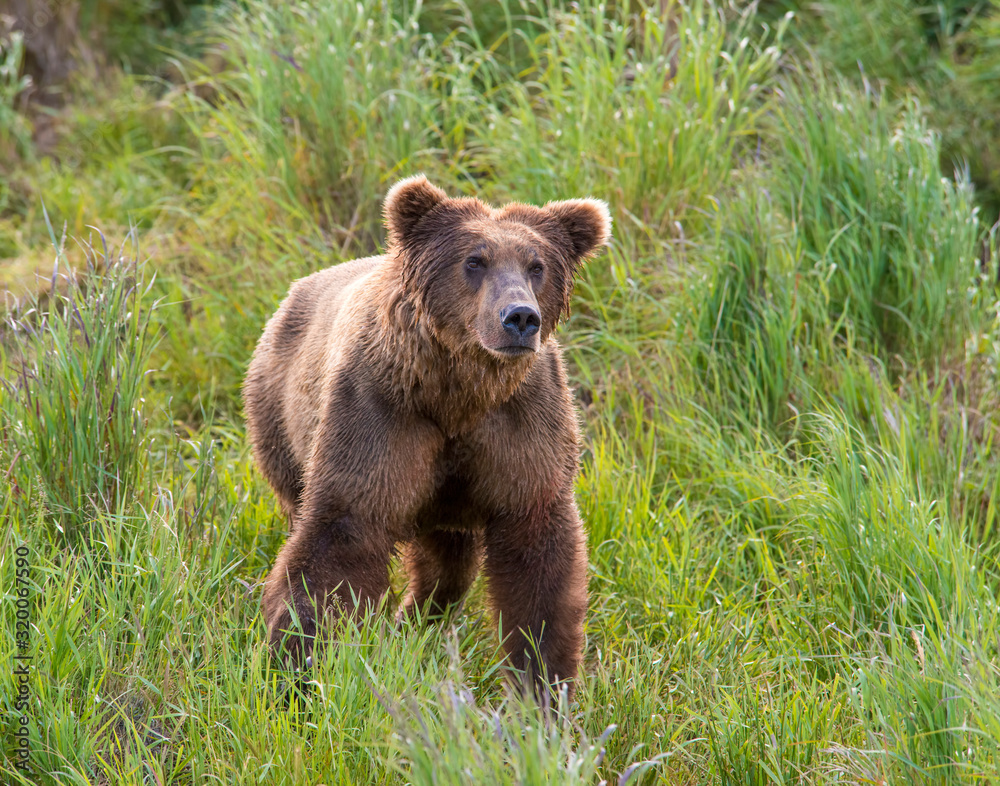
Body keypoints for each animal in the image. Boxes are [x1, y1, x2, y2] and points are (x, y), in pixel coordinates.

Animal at [243, 175, 612, 699]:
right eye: (474, 261)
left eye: (537, 265)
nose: (520, 317)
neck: (458, 392)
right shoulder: (381, 414)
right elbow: (342, 531)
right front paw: (293, 664)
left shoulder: (522, 425)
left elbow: (537, 555)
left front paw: (541, 683)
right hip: (279, 412)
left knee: (447, 565)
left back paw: (415, 619)